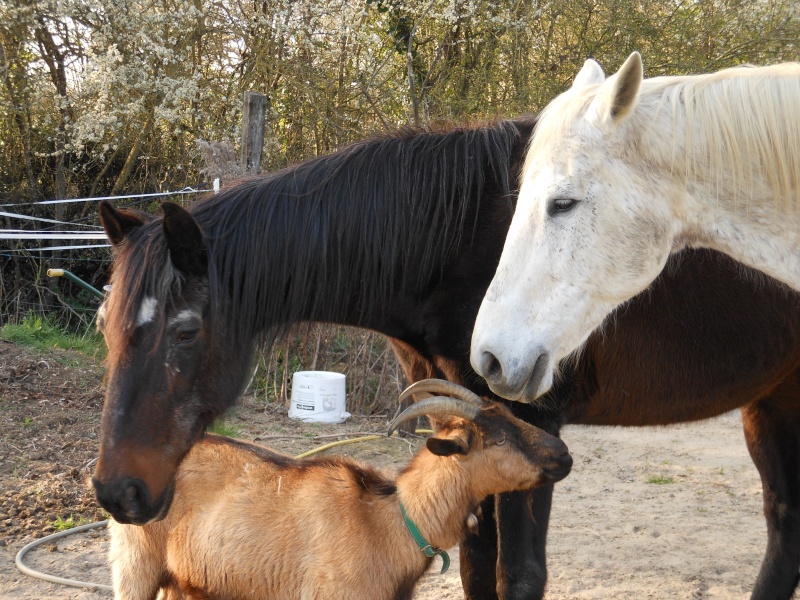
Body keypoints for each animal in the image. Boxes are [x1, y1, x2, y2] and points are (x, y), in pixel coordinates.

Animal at [108, 382, 568, 596]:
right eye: (499, 439)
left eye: (511, 416)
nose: (563, 455)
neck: (392, 522)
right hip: (135, 567)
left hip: (183, 583)